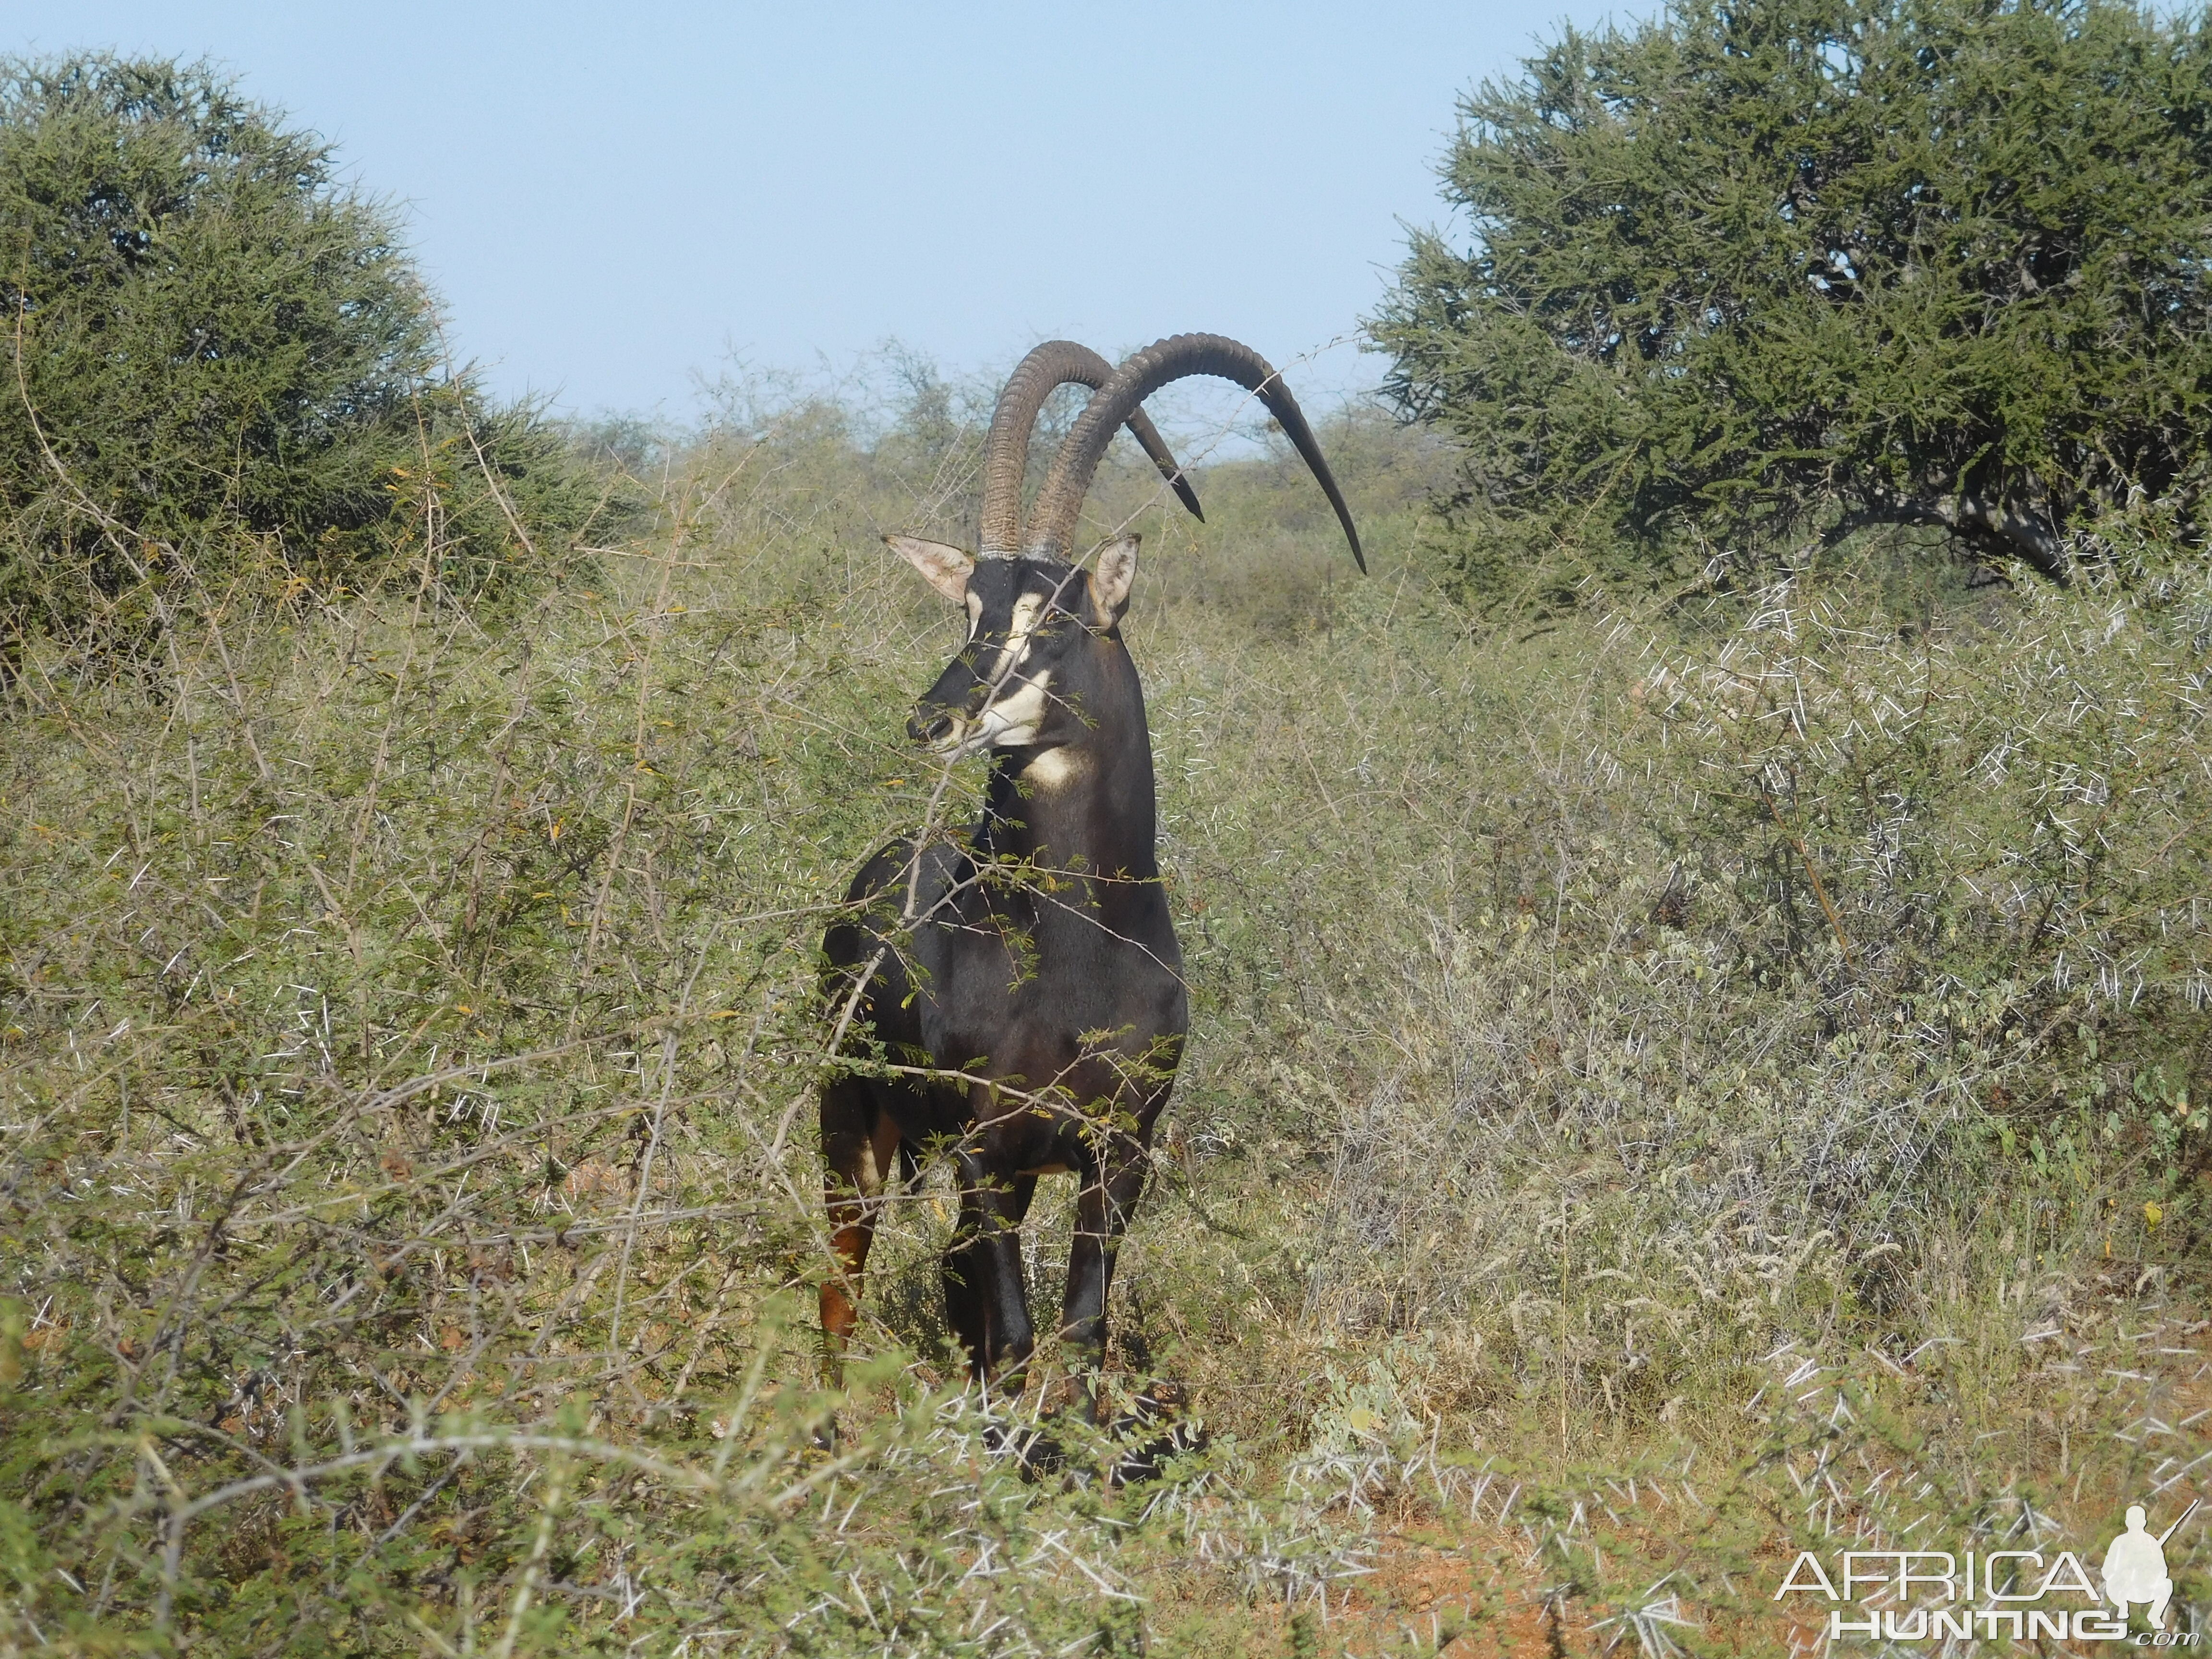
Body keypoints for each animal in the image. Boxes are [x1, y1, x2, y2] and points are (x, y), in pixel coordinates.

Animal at [823, 334, 1354, 1433]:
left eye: (1055, 619)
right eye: (970, 610)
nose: (934, 720)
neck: (1073, 950)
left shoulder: (1119, 1154)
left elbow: (1078, 1333)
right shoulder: (985, 1148)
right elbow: (1015, 1337)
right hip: (854, 1130)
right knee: (838, 1290)